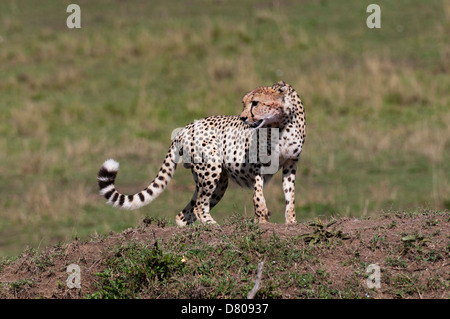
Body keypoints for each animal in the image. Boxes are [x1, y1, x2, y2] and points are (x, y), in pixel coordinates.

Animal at [98, 82, 306, 228]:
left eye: (255, 103)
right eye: (244, 103)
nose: (243, 118)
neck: (282, 123)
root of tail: (186, 127)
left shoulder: (291, 163)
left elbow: (290, 194)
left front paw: (291, 222)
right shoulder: (257, 164)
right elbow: (258, 194)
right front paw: (262, 218)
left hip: (217, 181)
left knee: (185, 213)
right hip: (211, 168)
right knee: (199, 206)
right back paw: (213, 226)